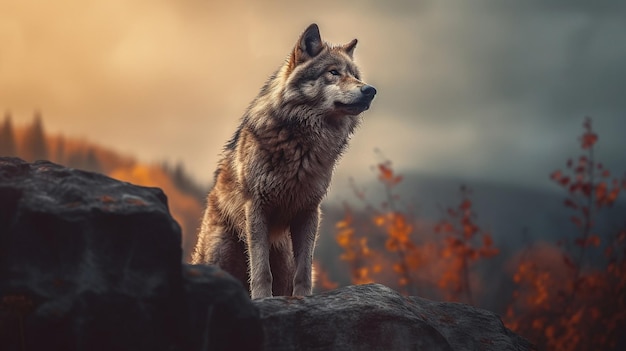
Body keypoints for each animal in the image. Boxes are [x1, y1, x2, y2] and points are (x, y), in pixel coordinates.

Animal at [190, 22, 376, 300]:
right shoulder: (256, 208)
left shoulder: (309, 211)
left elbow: (305, 269)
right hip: (220, 253)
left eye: (355, 75)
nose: (370, 90)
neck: (301, 141)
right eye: (333, 73)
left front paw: (303, 298)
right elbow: (260, 268)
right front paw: (262, 299)